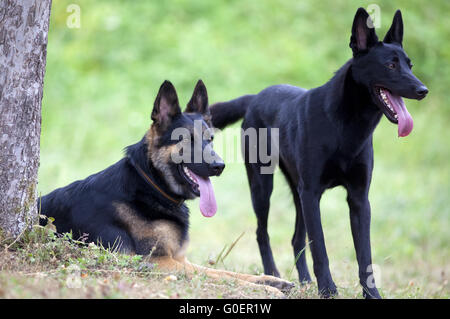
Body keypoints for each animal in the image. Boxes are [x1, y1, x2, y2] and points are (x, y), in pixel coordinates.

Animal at [211, 8, 428, 298]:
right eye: (390, 65)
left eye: (409, 66)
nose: (423, 90)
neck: (346, 126)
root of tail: (255, 98)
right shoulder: (312, 193)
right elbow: (321, 248)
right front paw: (328, 289)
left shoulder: (358, 199)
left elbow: (364, 254)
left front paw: (371, 294)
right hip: (263, 186)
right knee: (262, 233)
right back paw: (275, 275)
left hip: (298, 193)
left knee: (296, 238)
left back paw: (304, 282)